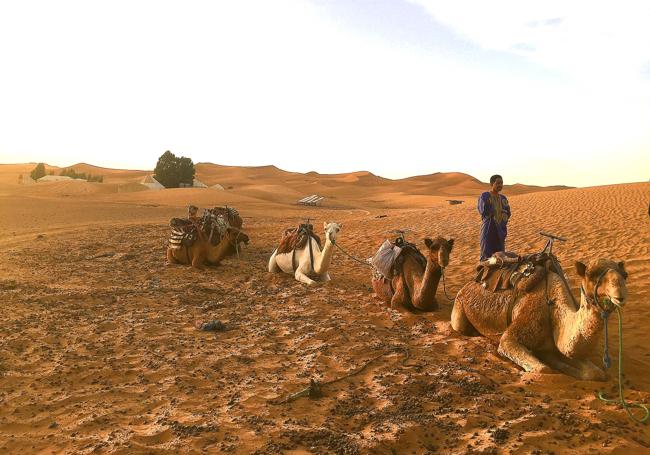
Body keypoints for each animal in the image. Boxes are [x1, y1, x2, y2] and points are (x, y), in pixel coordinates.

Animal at [448, 258, 624, 380]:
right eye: (592, 277)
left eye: (625, 275)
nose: (620, 294)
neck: (552, 305)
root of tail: (468, 283)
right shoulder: (512, 335)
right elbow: (542, 369)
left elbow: (595, 373)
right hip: (459, 306)